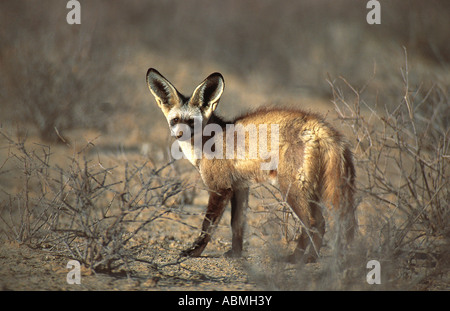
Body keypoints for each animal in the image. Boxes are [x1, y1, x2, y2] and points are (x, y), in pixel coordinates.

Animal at [146, 68, 356, 264]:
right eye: (175, 120)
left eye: (191, 121)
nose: (179, 134)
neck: (208, 142)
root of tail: (321, 128)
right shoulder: (240, 187)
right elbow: (237, 225)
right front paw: (235, 254)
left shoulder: (220, 188)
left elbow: (208, 227)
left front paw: (194, 252)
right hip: (312, 191)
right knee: (321, 223)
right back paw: (312, 258)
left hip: (292, 190)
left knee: (311, 223)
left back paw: (296, 258)